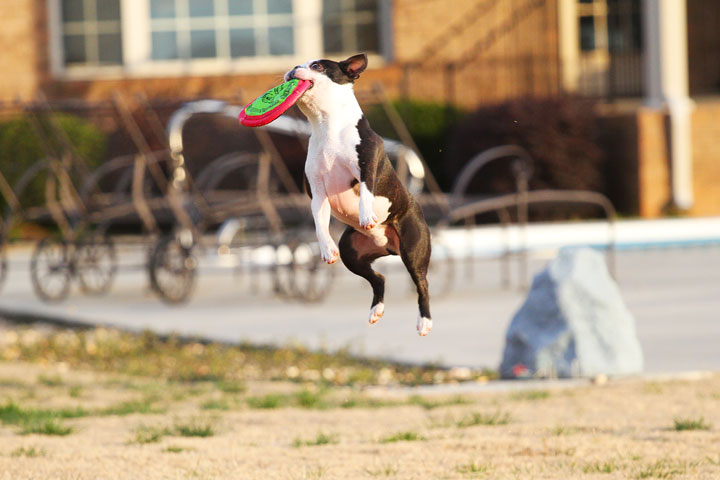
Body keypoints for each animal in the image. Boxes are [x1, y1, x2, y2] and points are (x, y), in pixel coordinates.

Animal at [286, 53, 434, 338]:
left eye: (317, 66)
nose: (292, 69)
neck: (326, 126)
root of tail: (387, 245)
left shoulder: (367, 166)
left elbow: (366, 191)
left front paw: (366, 215)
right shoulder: (317, 193)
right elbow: (320, 224)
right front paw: (325, 248)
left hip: (414, 249)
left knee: (422, 284)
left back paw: (424, 322)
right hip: (352, 253)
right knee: (379, 279)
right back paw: (376, 310)